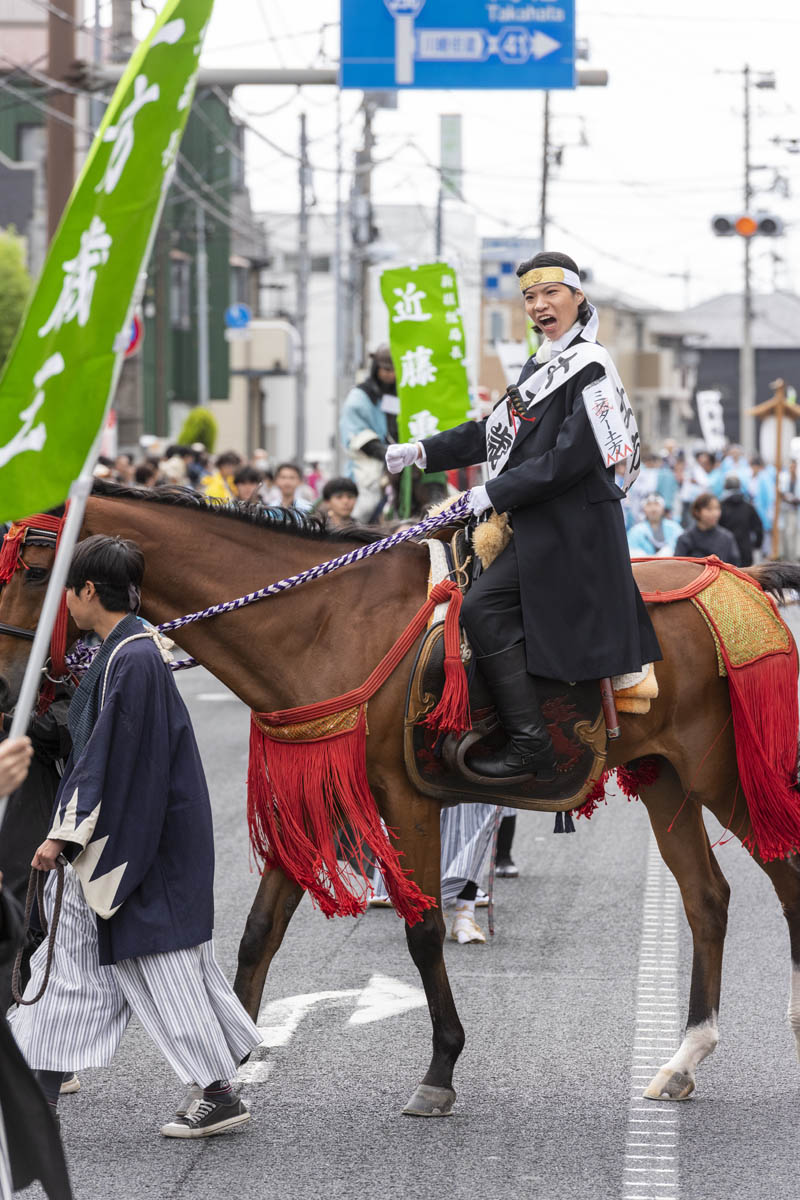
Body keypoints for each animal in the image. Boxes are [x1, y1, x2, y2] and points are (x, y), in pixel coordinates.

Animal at [1, 477, 800, 1113]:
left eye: (35, 567)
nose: (13, 689)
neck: (325, 623)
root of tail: (741, 579)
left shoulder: (406, 798)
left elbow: (422, 932)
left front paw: (440, 1069)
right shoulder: (318, 793)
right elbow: (260, 933)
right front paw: (226, 1071)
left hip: (724, 770)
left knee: (785, 876)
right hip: (667, 774)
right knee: (707, 898)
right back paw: (684, 1060)